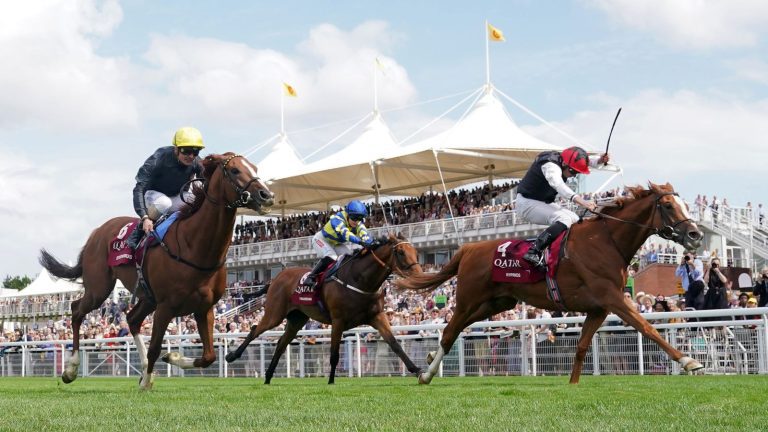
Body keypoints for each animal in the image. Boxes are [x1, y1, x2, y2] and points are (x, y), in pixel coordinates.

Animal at [39, 154, 274, 390]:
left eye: (254, 168)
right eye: (235, 170)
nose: (267, 195)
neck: (195, 246)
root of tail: (96, 232)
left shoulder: (204, 308)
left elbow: (209, 356)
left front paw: (171, 359)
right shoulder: (166, 306)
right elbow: (155, 347)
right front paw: (147, 381)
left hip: (146, 297)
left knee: (131, 319)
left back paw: (145, 370)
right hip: (99, 288)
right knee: (77, 310)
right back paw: (71, 369)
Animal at [225, 235, 424, 384]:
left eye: (416, 252)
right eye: (400, 252)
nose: (419, 274)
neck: (359, 279)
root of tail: (275, 279)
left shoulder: (377, 316)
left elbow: (395, 344)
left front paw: (417, 370)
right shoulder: (338, 320)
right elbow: (334, 353)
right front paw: (330, 381)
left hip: (296, 319)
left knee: (281, 343)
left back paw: (267, 377)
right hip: (275, 313)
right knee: (255, 330)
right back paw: (232, 356)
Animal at [400, 182, 704, 384]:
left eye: (686, 205)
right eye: (668, 206)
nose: (695, 234)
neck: (605, 241)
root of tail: (467, 248)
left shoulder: (599, 308)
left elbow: (581, 346)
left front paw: (572, 385)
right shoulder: (613, 298)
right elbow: (646, 327)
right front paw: (689, 362)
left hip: (497, 302)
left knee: (457, 328)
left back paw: (429, 360)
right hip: (468, 298)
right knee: (450, 329)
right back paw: (426, 374)